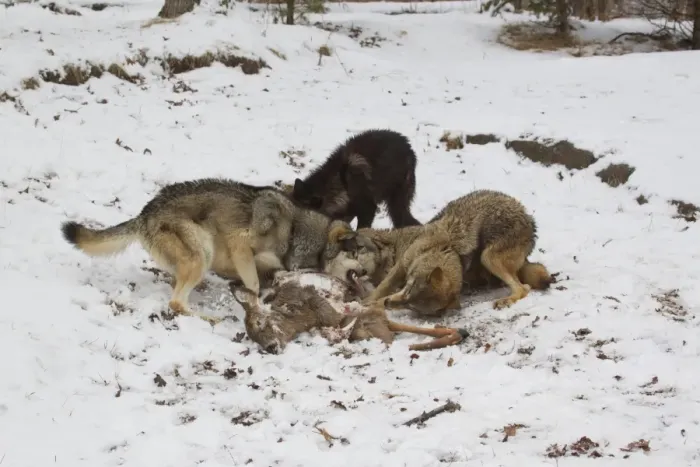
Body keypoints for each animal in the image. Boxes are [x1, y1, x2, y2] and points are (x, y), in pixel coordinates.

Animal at [60, 178, 364, 323]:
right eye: (356, 252)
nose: (364, 275)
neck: (296, 232)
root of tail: (144, 213)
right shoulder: (240, 242)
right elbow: (254, 284)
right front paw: (255, 304)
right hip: (203, 251)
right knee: (176, 303)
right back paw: (211, 318)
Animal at [327, 190, 553, 316]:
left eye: (359, 250)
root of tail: (529, 220)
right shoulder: (402, 269)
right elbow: (381, 291)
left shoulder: (398, 274)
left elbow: (379, 293)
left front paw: (365, 304)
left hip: (488, 257)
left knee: (523, 288)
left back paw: (505, 300)